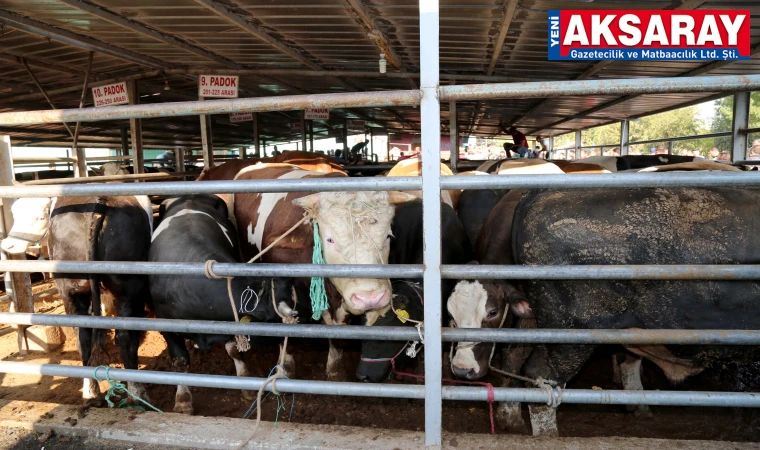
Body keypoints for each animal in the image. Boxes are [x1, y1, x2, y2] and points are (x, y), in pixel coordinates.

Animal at [0, 194, 154, 404]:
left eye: (40, 218)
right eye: (15, 216)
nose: (8, 245)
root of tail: (100, 203)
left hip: (73, 289)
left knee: (86, 338)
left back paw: (95, 392)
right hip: (125, 287)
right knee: (123, 337)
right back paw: (134, 394)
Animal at [148, 194, 294, 414]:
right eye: (277, 322)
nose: (288, 363)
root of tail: (189, 197)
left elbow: (233, 349)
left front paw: (245, 383)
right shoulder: (165, 322)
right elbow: (180, 361)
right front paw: (182, 401)